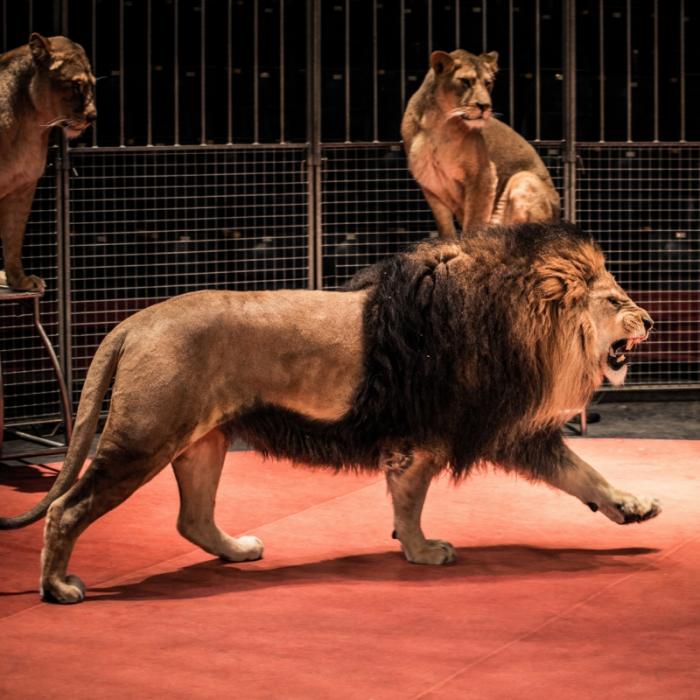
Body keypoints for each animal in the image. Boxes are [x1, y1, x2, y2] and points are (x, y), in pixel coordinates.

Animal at [0, 33, 96, 291]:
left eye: (92, 84)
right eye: (76, 85)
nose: (93, 117)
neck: (30, 122)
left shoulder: (24, 186)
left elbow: (13, 236)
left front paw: (19, 280)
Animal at [0, 223, 660, 604]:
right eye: (616, 300)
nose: (652, 320)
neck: (513, 317)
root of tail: (135, 320)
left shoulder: (504, 430)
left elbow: (583, 473)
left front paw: (633, 506)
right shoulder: (427, 436)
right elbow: (410, 504)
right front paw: (422, 552)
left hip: (202, 442)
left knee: (191, 518)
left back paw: (237, 550)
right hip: (145, 437)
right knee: (65, 508)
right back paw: (58, 587)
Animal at [401, 49, 560, 240]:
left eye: (488, 83)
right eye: (465, 81)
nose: (485, 106)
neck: (438, 123)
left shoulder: (483, 174)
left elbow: (474, 223)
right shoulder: (431, 184)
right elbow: (446, 229)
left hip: (524, 178)